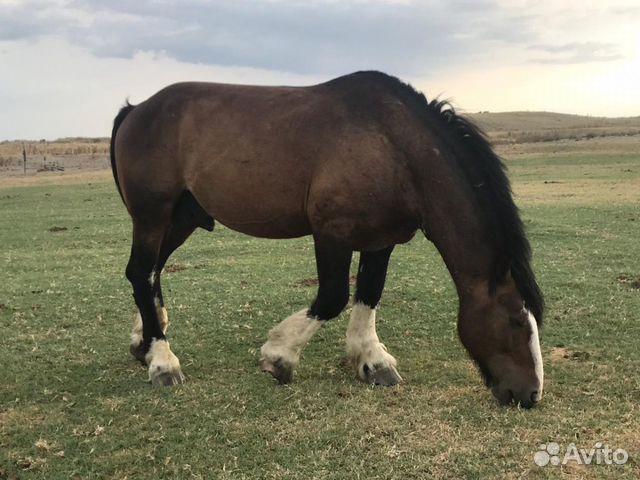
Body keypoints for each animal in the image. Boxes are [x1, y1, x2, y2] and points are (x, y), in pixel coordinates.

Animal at [110, 70, 544, 408]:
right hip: (152, 216)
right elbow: (333, 297)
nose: (531, 395)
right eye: (515, 321)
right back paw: (163, 361)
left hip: (181, 219)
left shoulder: (380, 239)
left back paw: (144, 343)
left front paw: (373, 360)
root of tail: (138, 109)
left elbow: (369, 293)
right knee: (142, 274)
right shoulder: (331, 233)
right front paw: (279, 357)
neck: (393, 146)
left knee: (151, 273)